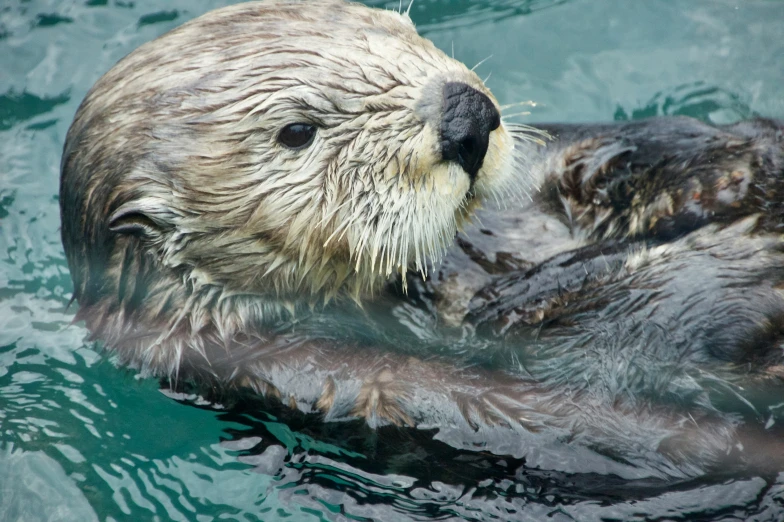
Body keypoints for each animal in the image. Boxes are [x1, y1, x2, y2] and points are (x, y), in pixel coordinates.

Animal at [59, 0, 784, 476]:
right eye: (296, 131)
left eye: (404, 32)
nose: (467, 115)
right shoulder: (334, 374)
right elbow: (611, 385)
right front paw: (734, 258)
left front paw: (723, 168)